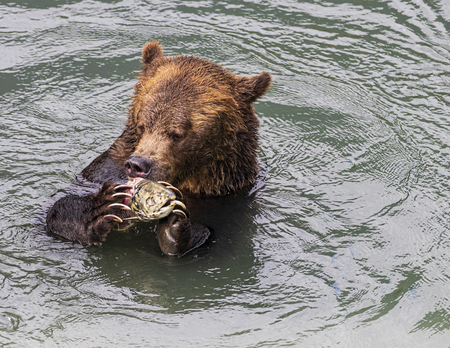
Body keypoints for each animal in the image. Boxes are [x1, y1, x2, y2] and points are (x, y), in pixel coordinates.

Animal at [44, 40, 270, 256]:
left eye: (177, 134)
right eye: (143, 124)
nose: (138, 165)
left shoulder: (230, 197)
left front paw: (173, 229)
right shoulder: (105, 169)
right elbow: (57, 208)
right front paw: (100, 208)